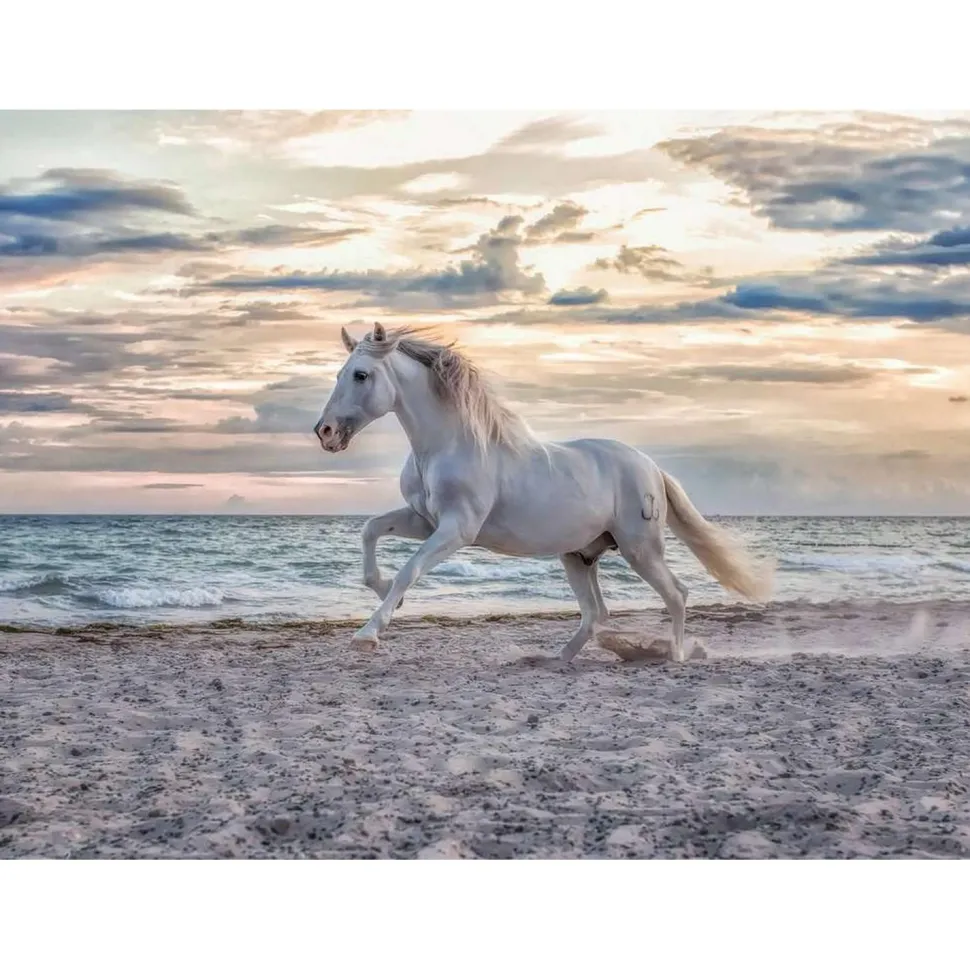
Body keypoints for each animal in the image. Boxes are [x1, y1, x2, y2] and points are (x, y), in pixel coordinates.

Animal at [314, 322, 773, 661]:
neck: (448, 445)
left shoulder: (457, 529)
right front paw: (382, 593)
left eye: (361, 374)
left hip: (640, 549)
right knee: (596, 613)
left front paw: (369, 633)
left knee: (676, 594)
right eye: (338, 374)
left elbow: (409, 570)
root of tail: (651, 467)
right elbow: (371, 531)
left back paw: (674, 656)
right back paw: (556, 659)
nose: (325, 432)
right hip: (579, 556)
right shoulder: (424, 520)